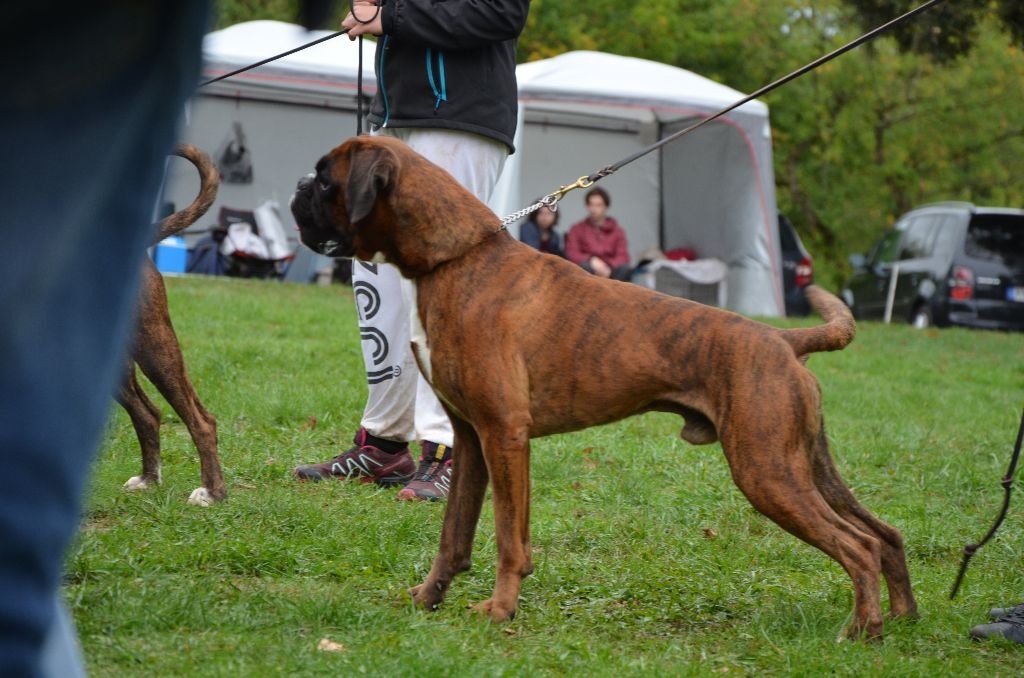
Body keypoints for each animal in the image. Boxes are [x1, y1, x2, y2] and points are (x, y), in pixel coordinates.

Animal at [290, 135, 921, 639]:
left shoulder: (504, 436)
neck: (456, 259)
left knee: (858, 546)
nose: (296, 186)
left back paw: (861, 630)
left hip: (766, 471)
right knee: (884, 533)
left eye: (325, 178)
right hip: (804, 464)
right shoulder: (471, 440)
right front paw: (428, 598)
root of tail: (783, 340)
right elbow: (455, 534)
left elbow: (508, 538)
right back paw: (903, 618)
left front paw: (500, 610)